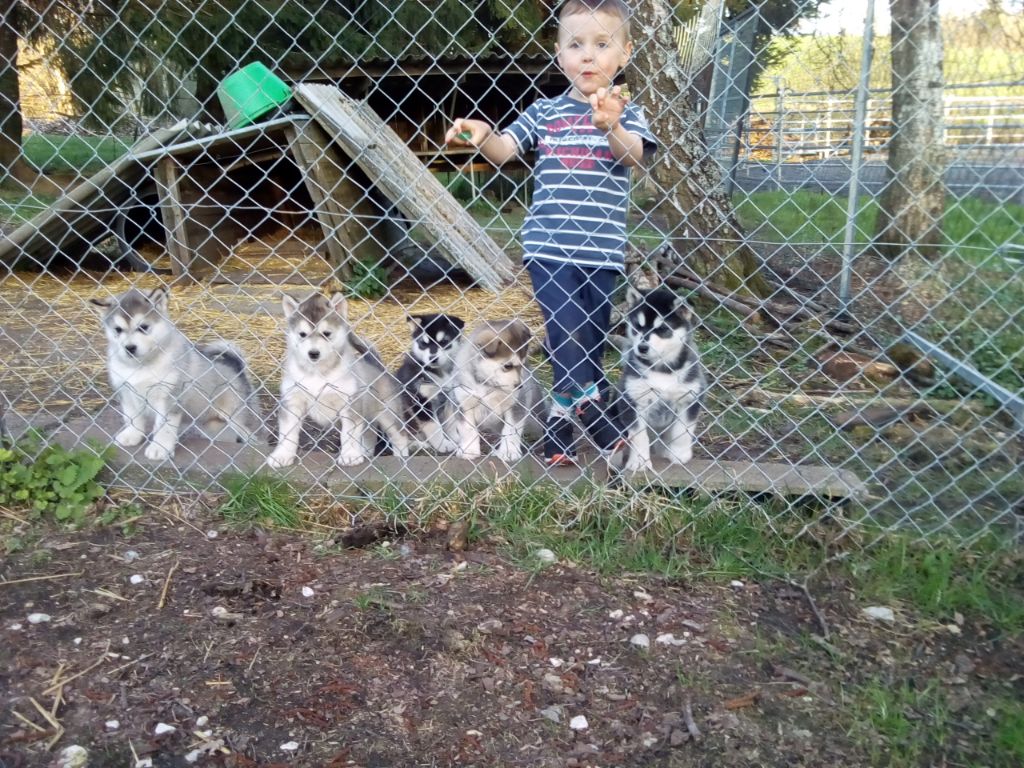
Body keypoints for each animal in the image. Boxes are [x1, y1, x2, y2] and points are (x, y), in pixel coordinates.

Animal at [90, 286, 258, 460]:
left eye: (143, 327)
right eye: (118, 329)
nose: (129, 348)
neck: (141, 366)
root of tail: (238, 370)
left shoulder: (169, 397)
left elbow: (164, 427)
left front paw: (159, 448)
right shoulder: (126, 392)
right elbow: (132, 418)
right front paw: (131, 436)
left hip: (233, 417)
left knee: (247, 433)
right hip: (215, 426)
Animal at [268, 290, 411, 466]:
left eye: (326, 334)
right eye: (302, 334)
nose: (313, 353)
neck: (317, 372)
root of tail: (378, 367)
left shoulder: (349, 404)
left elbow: (348, 435)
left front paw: (350, 455)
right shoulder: (292, 401)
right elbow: (288, 433)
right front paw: (282, 455)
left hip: (389, 414)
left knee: (400, 438)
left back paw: (401, 458)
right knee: (369, 436)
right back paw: (366, 454)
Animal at [450, 319, 540, 462]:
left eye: (522, 364)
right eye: (507, 366)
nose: (519, 386)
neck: (486, 384)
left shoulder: (516, 404)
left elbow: (510, 430)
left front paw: (509, 452)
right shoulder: (463, 403)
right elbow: (468, 430)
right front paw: (469, 451)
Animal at [614, 286, 704, 473]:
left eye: (662, 329)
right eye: (638, 327)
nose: (642, 347)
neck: (662, 370)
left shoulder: (689, 398)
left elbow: (681, 432)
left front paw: (679, 454)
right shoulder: (633, 400)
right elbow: (640, 436)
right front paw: (639, 462)